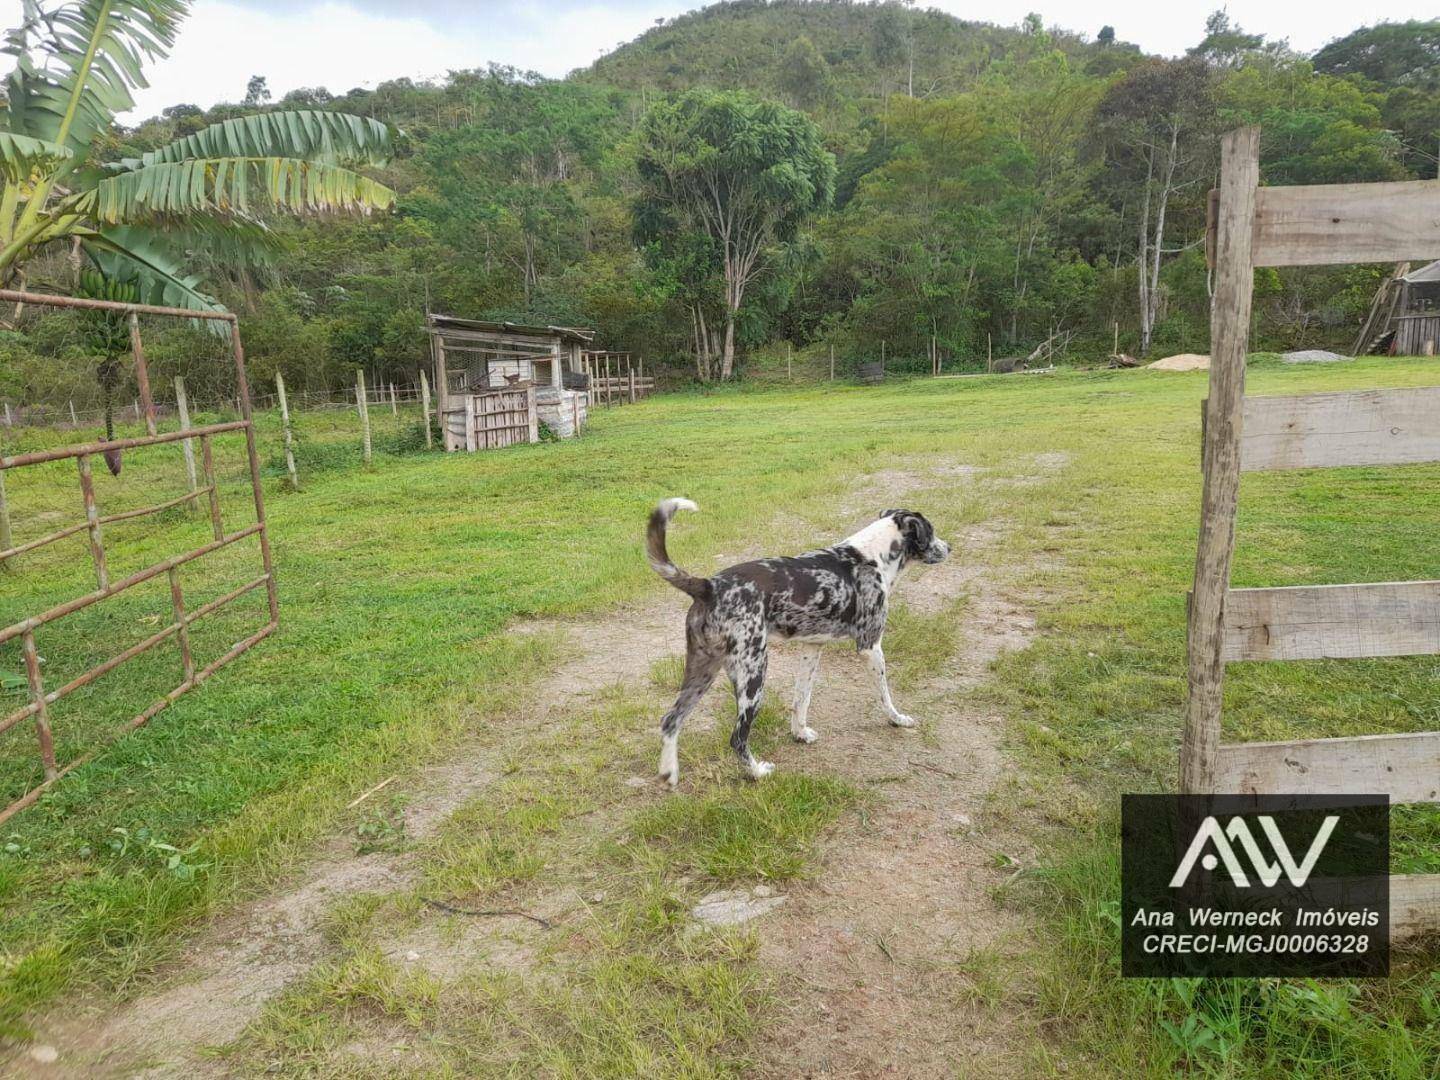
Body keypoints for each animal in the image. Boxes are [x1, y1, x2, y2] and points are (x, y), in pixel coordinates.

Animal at [650, 498, 944, 789]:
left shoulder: (812, 649)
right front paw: (897, 719)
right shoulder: (870, 646)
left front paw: (800, 733)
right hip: (753, 676)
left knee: (670, 721)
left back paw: (669, 774)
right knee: (737, 738)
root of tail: (708, 586)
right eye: (930, 531)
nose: (948, 547)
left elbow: (802, 699)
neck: (872, 557)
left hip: (703, 672)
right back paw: (757, 772)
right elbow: (885, 695)